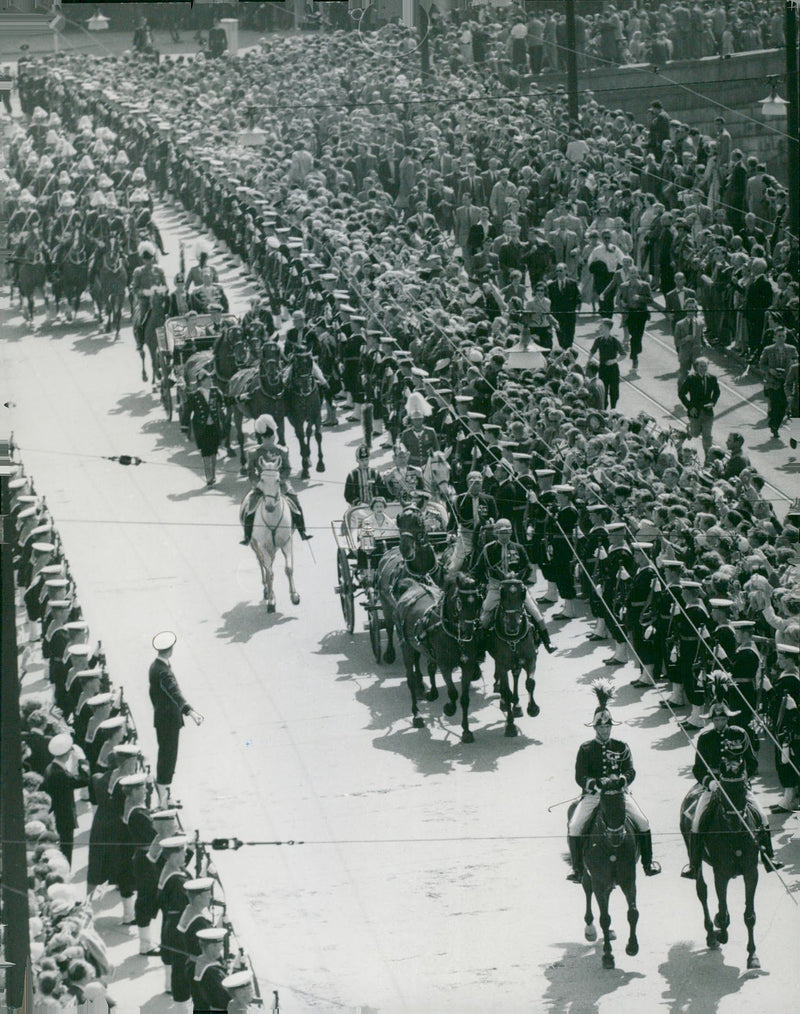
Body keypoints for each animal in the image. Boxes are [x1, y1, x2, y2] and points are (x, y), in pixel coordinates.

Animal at [240, 464, 300, 608]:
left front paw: (294, 595)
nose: (270, 507)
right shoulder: (263, 545)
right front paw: (271, 601)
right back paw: (267, 590)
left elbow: (289, 568)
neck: (272, 519)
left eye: (278, 480)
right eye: (262, 479)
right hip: (255, 545)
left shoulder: (286, 542)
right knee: (262, 563)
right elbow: (269, 572)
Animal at [563, 778, 640, 969]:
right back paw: (590, 928)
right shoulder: (599, 881)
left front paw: (632, 947)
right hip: (587, 874)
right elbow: (604, 918)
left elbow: (633, 913)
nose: (616, 837)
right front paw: (607, 956)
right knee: (588, 890)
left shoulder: (629, 879)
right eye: (603, 807)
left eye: (623, 804)